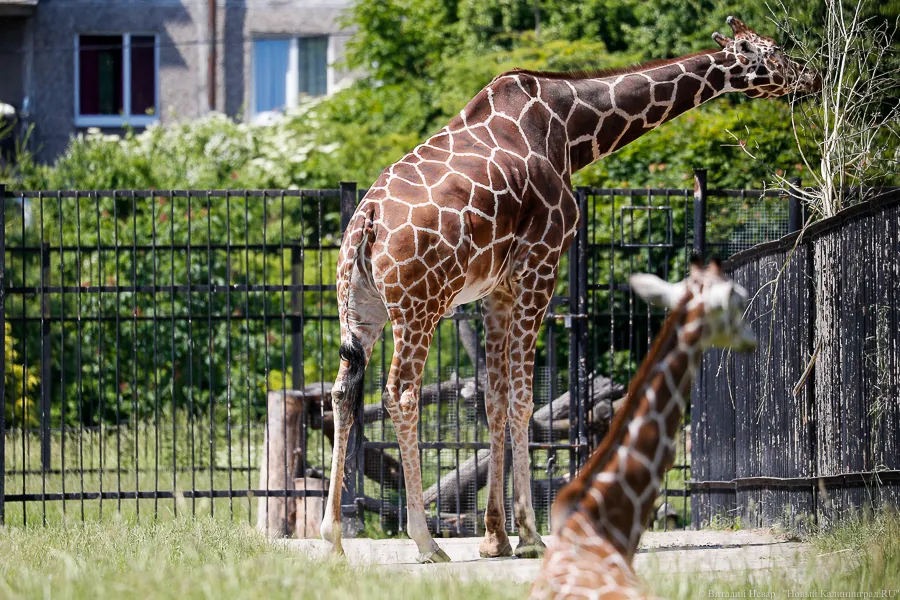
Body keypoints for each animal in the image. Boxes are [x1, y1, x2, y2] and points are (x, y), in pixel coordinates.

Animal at [320, 16, 820, 564]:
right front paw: (530, 536)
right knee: (401, 394)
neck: (567, 129)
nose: (812, 78)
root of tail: (366, 220)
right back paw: (426, 541)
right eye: (775, 52)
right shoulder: (542, 261)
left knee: (343, 392)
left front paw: (495, 539)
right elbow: (523, 398)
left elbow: (495, 399)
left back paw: (333, 536)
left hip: (362, 309)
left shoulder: (497, 287)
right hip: (419, 307)